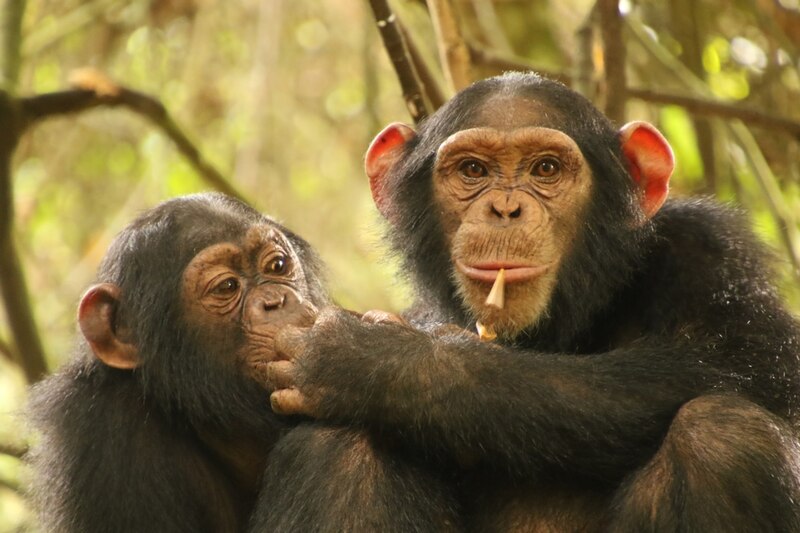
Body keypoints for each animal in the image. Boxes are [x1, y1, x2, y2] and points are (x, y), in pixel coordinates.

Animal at [268, 71, 800, 532]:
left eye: (546, 168)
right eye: (473, 170)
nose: (505, 209)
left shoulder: (709, 252)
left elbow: (743, 360)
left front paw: (372, 361)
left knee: (724, 437)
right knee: (338, 446)